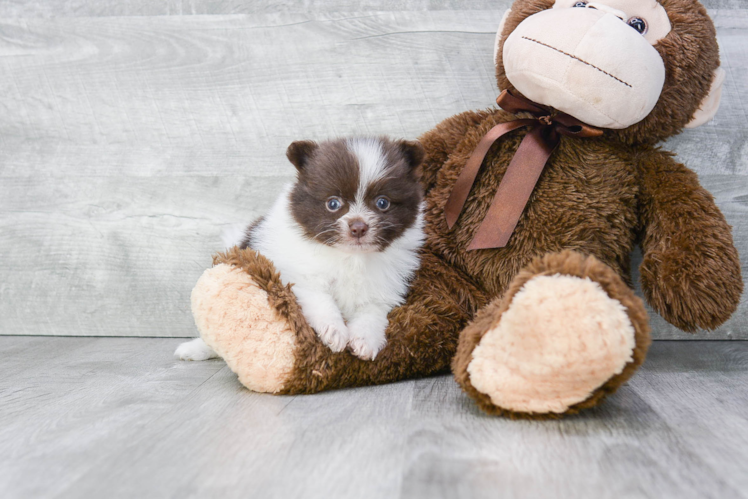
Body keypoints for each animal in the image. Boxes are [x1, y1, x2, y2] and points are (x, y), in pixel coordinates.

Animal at [172, 137, 424, 362]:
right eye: (333, 203)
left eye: (383, 203)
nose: (359, 227)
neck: (350, 257)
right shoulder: (300, 277)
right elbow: (322, 301)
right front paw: (334, 331)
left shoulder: (381, 290)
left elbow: (371, 314)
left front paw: (365, 341)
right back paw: (195, 349)